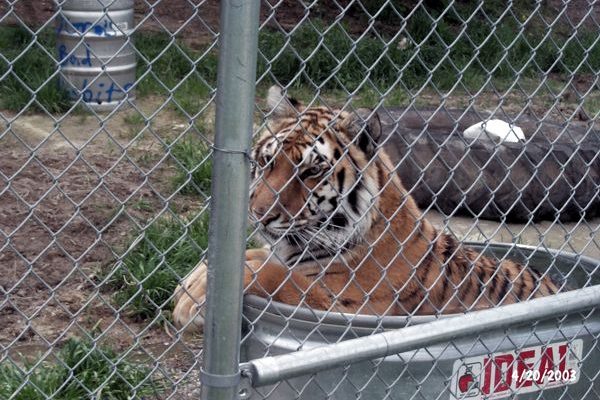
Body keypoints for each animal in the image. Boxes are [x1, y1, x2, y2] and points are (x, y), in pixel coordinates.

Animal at [171, 86, 560, 330]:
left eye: (311, 171)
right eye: (268, 160)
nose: (260, 215)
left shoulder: (349, 307)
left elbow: (276, 274)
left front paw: (193, 298)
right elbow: (255, 256)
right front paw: (192, 280)